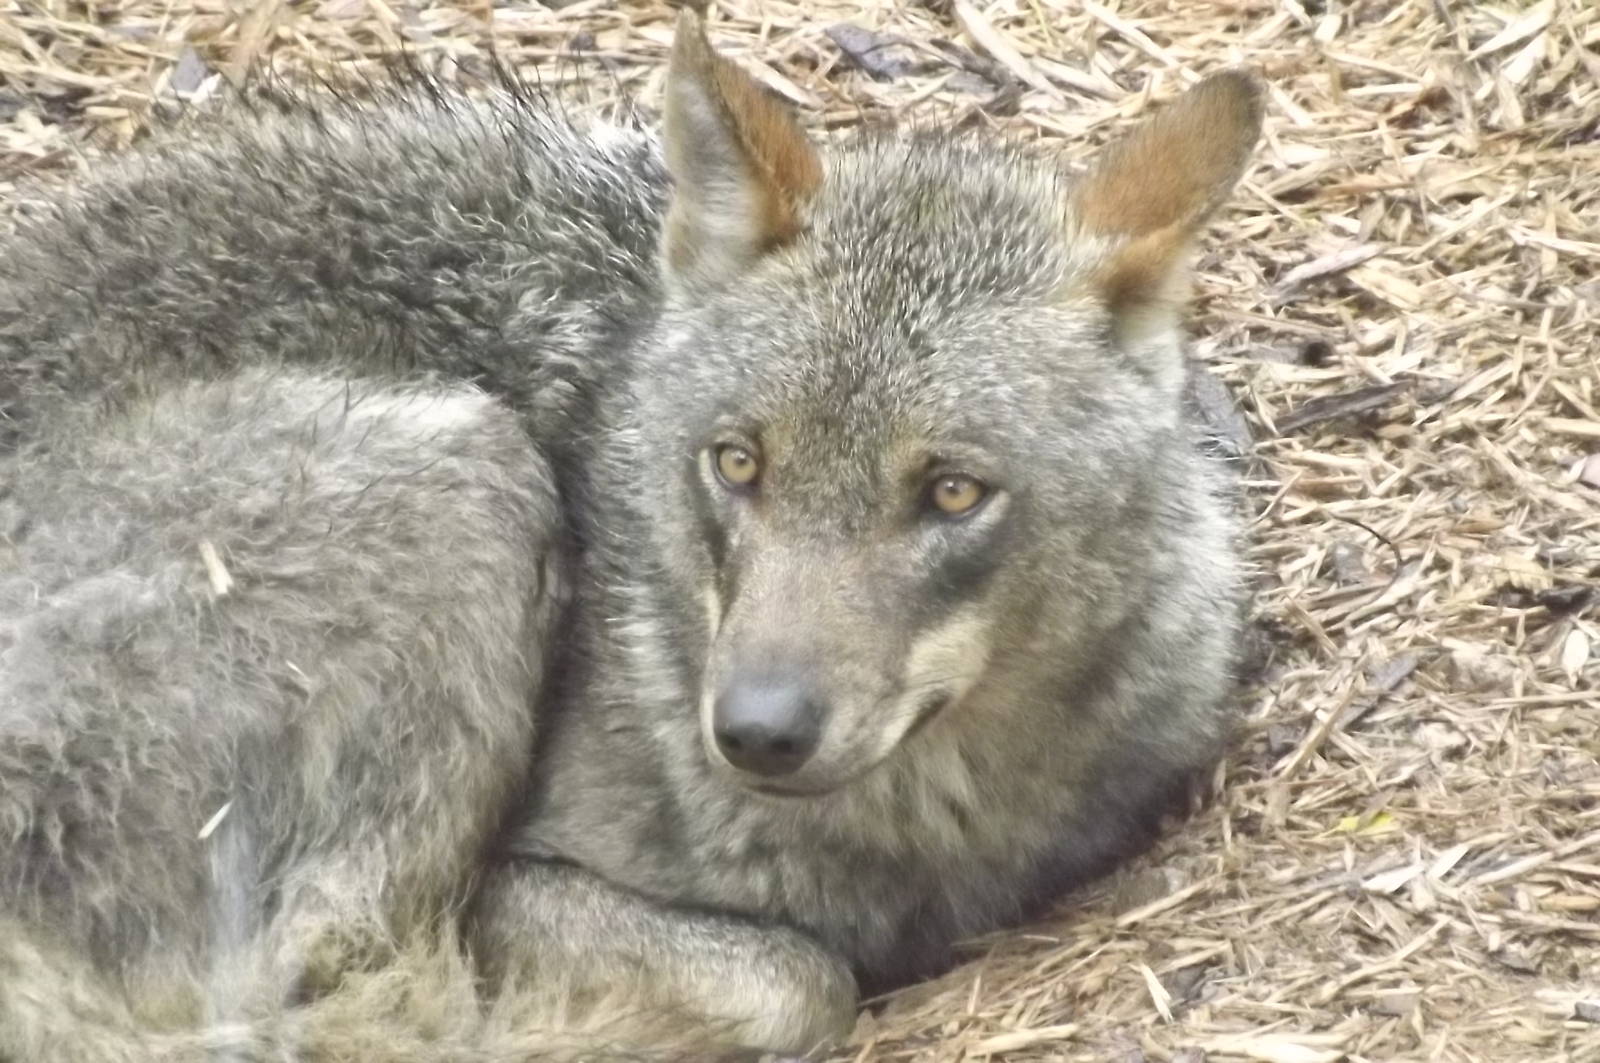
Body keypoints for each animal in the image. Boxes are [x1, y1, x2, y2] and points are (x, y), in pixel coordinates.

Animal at [0, 10, 1263, 1061]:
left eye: (952, 492)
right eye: (737, 462)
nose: (757, 732)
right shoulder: (507, 892)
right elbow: (798, 976)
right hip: (470, 466)